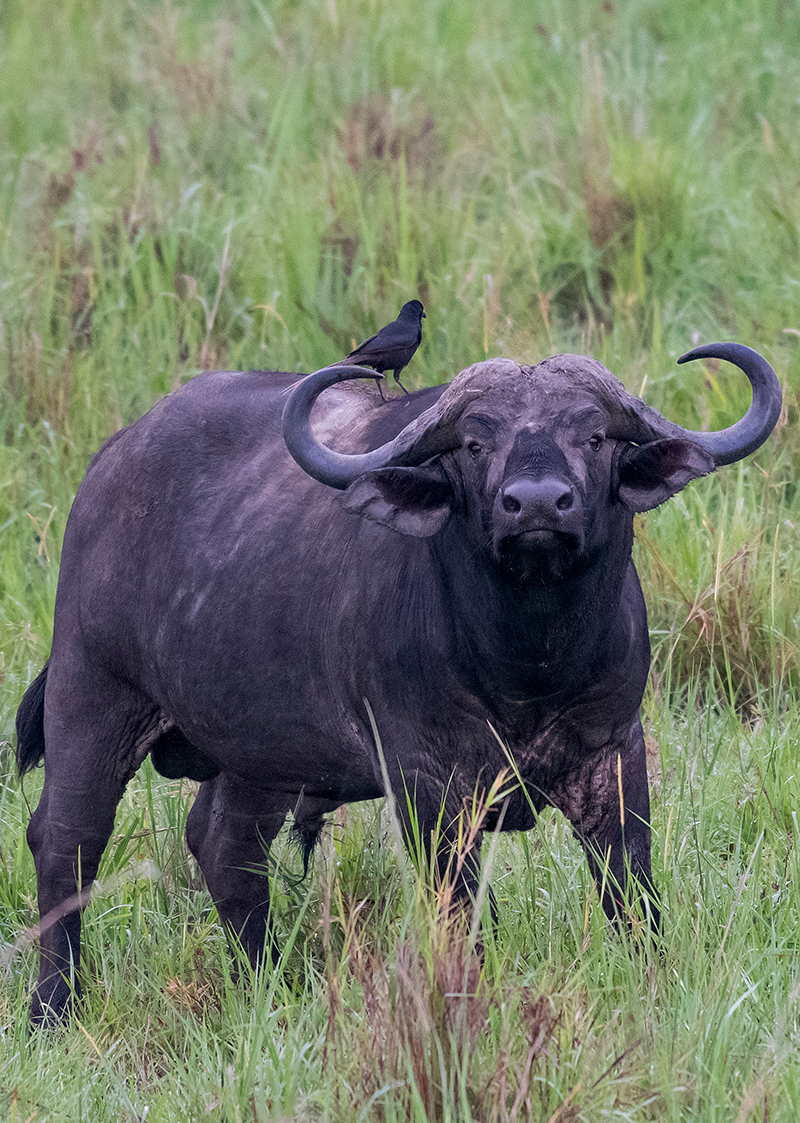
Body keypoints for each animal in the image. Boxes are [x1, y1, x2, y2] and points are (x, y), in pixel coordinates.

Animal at [16, 342, 781, 1025]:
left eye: (593, 435)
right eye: (473, 443)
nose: (537, 504)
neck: (528, 664)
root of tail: (110, 464)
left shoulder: (614, 751)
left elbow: (630, 889)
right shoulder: (428, 784)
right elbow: (461, 911)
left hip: (258, 751)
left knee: (226, 846)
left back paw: (269, 984)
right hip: (92, 696)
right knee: (66, 843)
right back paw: (52, 1009)